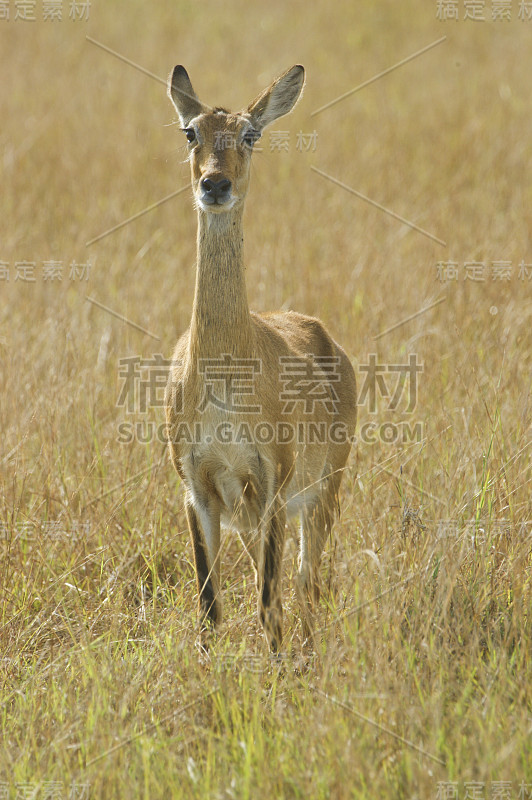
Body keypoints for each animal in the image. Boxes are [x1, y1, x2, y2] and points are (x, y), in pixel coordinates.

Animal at [166, 61, 358, 648]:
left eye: (250, 134)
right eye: (191, 132)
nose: (215, 184)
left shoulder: (273, 482)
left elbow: (270, 606)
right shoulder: (199, 490)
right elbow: (210, 606)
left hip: (323, 491)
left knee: (305, 584)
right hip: (251, 514)